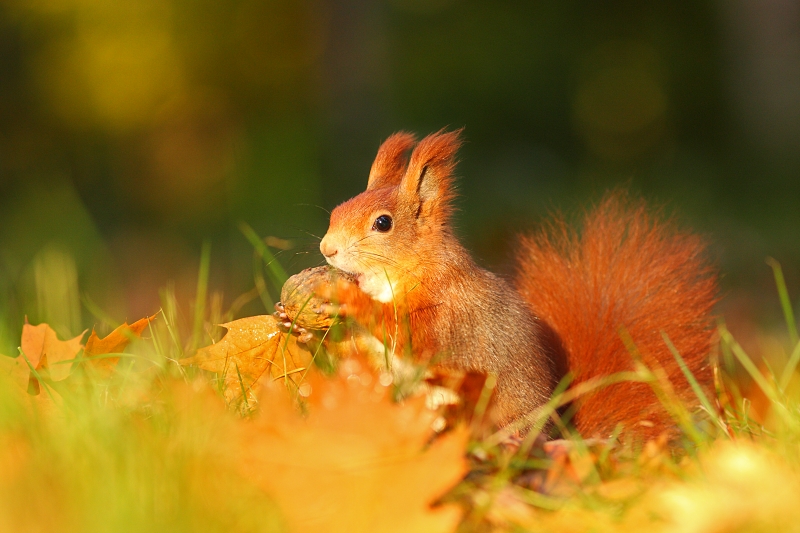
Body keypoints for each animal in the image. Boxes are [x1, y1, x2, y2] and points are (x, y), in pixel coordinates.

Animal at [277, 130, 718, 439]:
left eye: (383, 223)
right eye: (338, 209)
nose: (327, 249)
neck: (396, 277)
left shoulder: (448, 315)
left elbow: (409, 335)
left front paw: (342, 295)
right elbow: (364, 357)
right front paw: (295, 324)